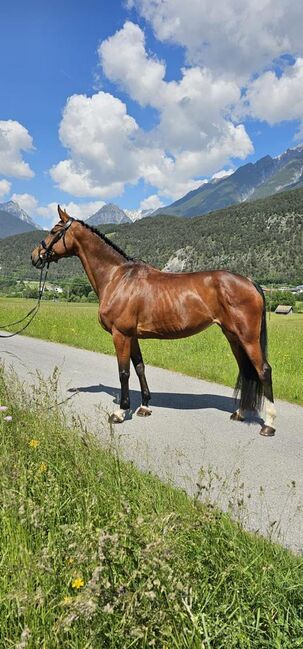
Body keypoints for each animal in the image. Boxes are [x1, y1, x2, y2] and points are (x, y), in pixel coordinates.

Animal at [31, 204, 278, 436]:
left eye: (54, 231)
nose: (35, 256)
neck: (117, 278)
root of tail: (250, 282)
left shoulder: (121, 335)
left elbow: (124, 372)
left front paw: (120, 412)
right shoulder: (132, 336)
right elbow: (140, 367)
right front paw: (145, 406)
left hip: (247, 337)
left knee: (263, 370)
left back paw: (269, 424)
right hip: (233, 336)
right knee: (246, 371)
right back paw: (240, 413)